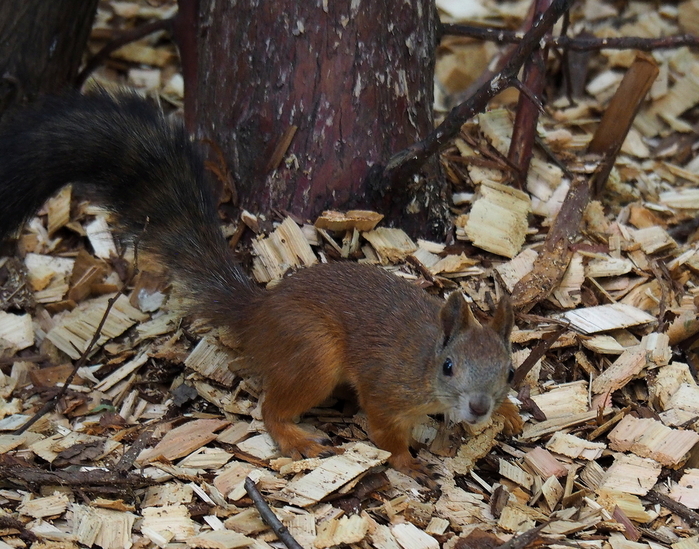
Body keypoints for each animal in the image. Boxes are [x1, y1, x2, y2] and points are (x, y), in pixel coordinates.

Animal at [0, 91, 516, 488]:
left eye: (509, 371)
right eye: (449, 367)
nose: (478, 407)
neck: (425, 359)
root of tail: (259, 311)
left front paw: (507, 412)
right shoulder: (387, 390)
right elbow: (386, 435)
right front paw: (409, 463)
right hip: (313, 354)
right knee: (271, 408)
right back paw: (295, 437)